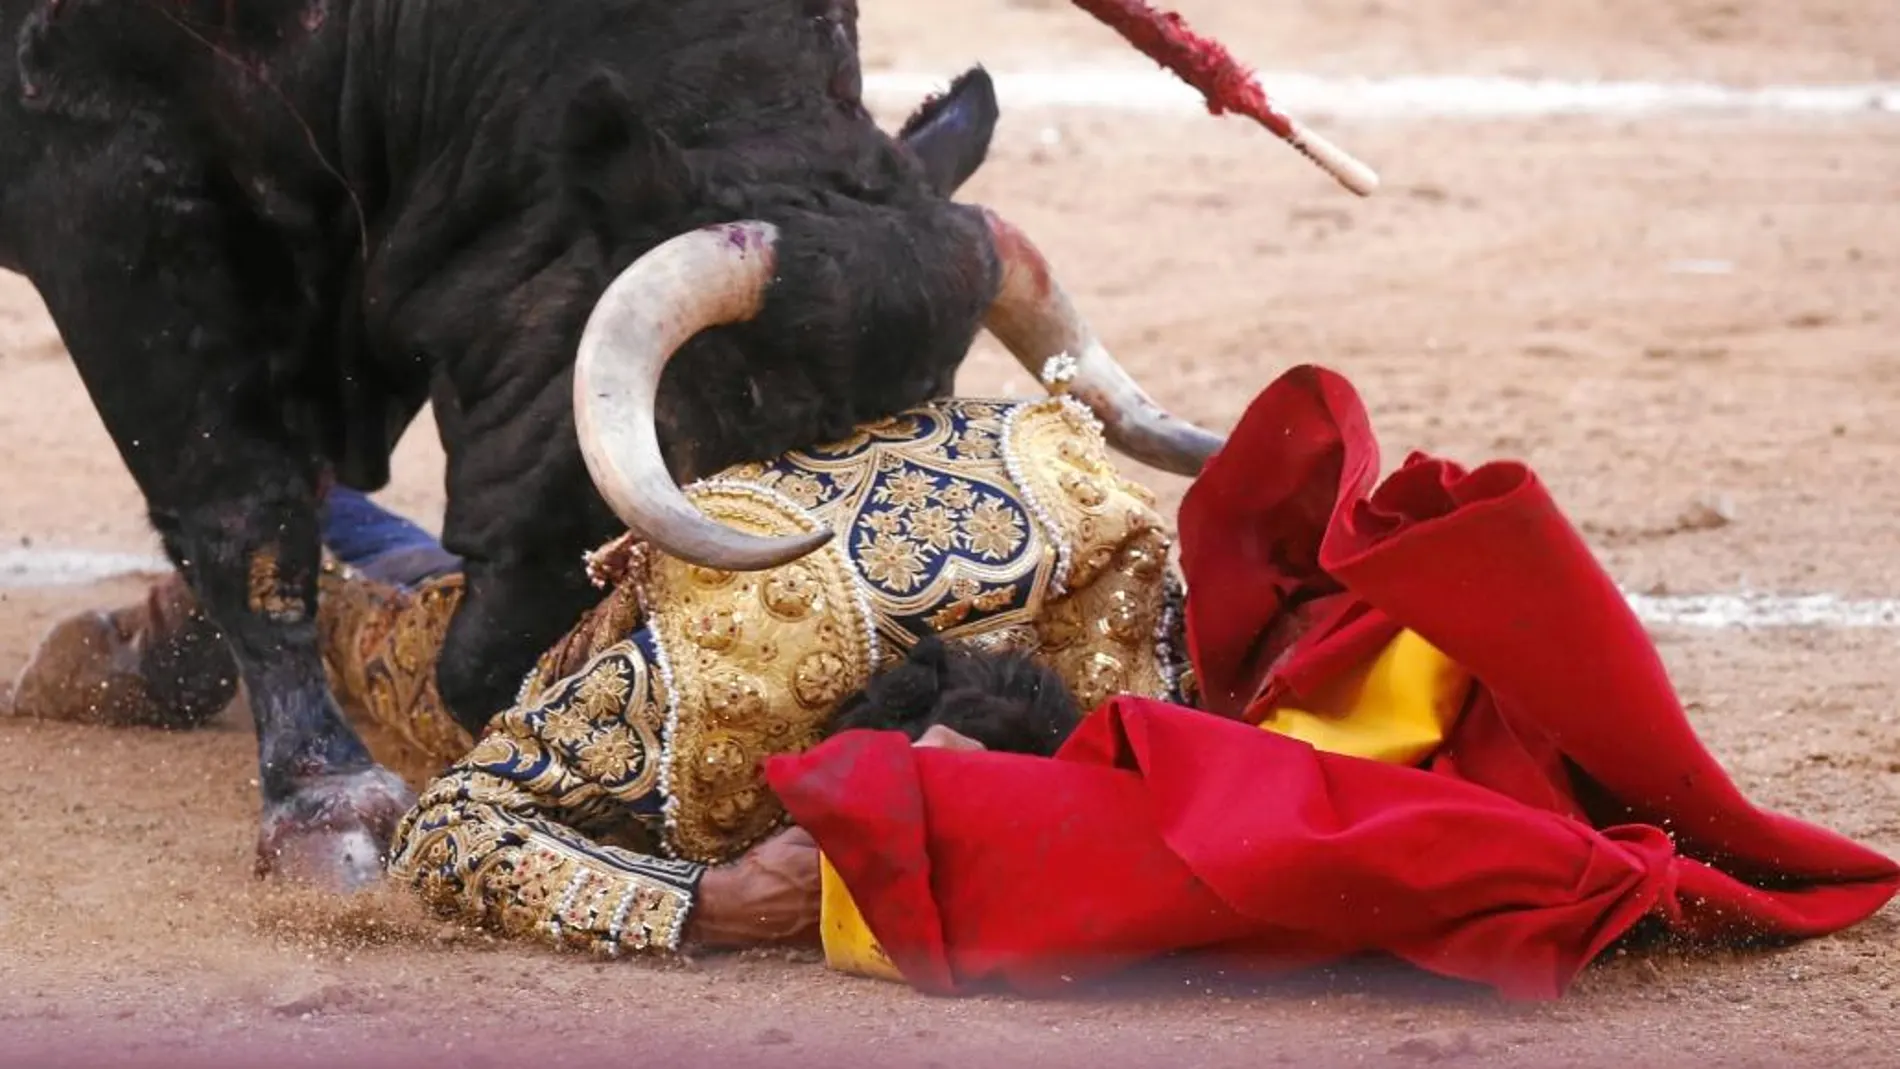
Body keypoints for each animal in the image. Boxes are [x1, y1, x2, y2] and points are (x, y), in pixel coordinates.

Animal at [0, 0, 1010, 888]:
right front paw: (324, 798)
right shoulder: (115, 190)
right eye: (731, 403)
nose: (520, 679)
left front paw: (136, 658)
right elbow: (244, 507)